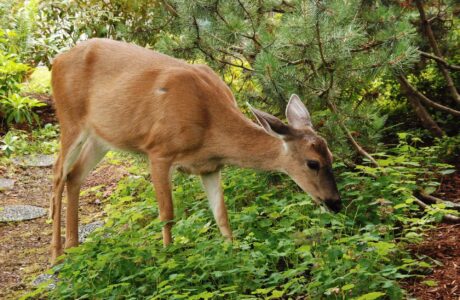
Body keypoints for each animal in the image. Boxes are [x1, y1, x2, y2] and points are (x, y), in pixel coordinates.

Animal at [49, 37, 342, 262]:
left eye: (331, 156)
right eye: (312, 163)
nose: (336, 203)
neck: (209, 126)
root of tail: (57, 60)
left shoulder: (210, 167)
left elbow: (222, 215)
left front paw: (234, 252)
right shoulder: (158, 151)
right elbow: (167, 214)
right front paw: (168, 256)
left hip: (101, 137)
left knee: (75, 174)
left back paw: (74, 247)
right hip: (70, 119)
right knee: (58, 174)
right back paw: (56, 255)